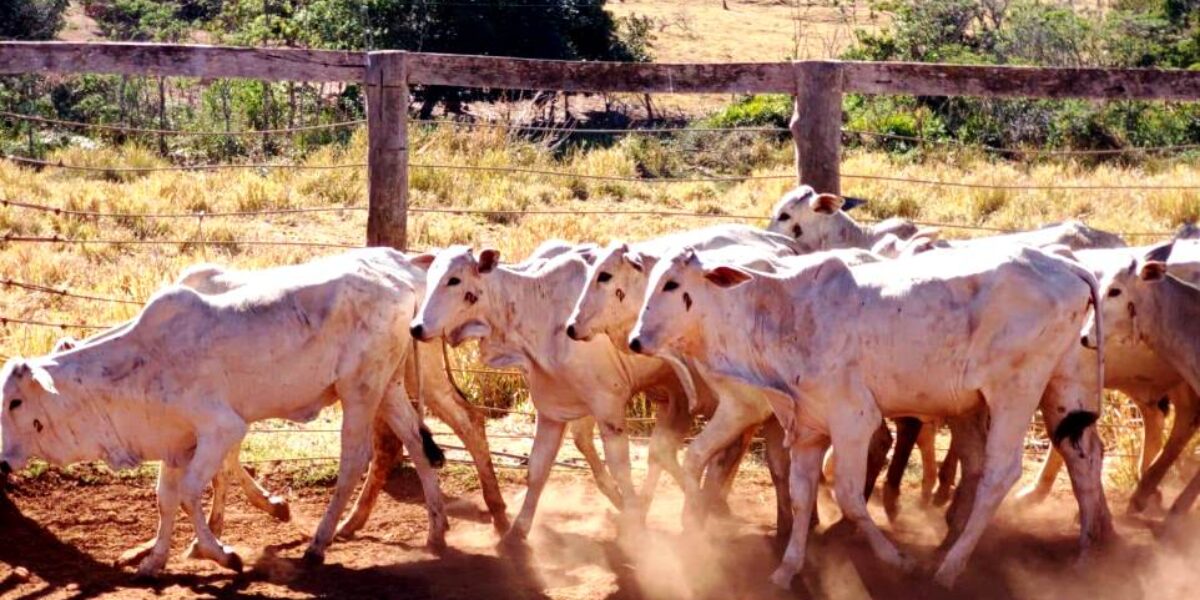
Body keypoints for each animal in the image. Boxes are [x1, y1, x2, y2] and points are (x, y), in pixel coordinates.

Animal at [633, 243, 1108, 585]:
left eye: (673, 284)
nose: (636, 340)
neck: (782, 313)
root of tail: (1067, 265)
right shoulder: (807, 427)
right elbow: (801, 494)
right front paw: (788, 568)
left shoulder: (852, 420)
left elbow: (848, 494)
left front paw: (897, 560)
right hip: (1066, 385)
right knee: (1082, 456)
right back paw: (1087, 555)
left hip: (1015, 391)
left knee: (1000, 473)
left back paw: (949, 567)